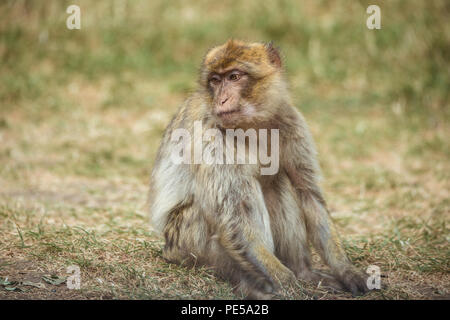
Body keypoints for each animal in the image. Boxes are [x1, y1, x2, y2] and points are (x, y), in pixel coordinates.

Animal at [149, 40, 368, 300]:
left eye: (234, 77)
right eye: (215, 80)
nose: (221, 100)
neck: (251, 125)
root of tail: (168, 249)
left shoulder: (291, 120)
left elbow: (308, 193)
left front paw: (346, 270)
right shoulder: (210, 133)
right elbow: (236, 216)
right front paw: (291, 286)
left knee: (278, 182)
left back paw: (303, 272)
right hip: (188, 242)